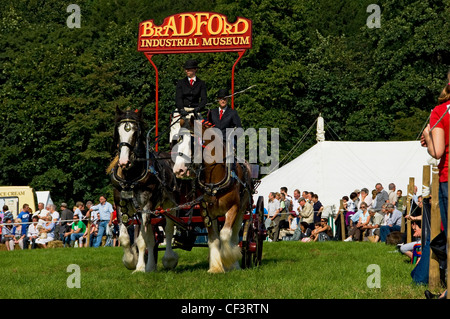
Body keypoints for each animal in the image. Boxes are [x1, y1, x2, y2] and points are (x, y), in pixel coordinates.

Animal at [110, 107, 178, 272]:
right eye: (118, 131)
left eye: (136, 132)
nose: (124, 161)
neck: (131, 176)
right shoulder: (120, 204)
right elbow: (125, 238)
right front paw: (130, 260)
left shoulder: (146, 206)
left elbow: (142, 240)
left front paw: (141, 267)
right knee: (152, 236)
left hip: (170, 204)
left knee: (168, 230)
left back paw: (169, 259)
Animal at [172, 117, 253, 276]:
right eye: (178, 140)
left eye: (192, 141)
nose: (179, 170)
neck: (214, 181)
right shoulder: (207, 212)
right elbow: (214, 239)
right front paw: (216, 267)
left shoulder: (234, 207)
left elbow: (225, 235)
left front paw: (228, 260)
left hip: (242, 208)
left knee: (235, 235)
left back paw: (234, 263)